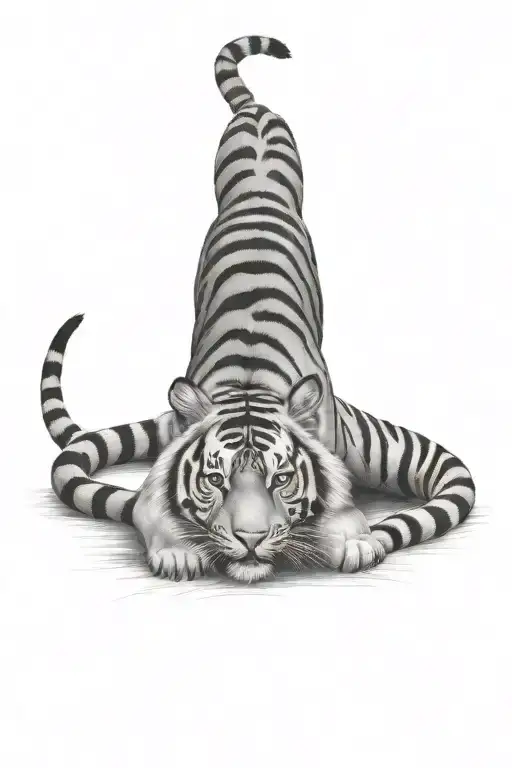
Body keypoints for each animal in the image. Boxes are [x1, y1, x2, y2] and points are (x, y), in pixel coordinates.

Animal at [40, 36, 476, 583]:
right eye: (214, 479)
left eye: (282, 478)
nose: (249, 540)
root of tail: (256, 112)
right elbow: (150, 506)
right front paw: (178, 553)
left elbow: (343, 510)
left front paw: (357, 542)